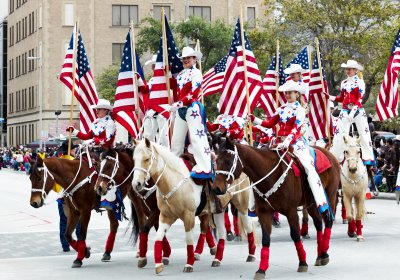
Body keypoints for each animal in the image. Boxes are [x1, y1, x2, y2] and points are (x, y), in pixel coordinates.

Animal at [133, 139, 228, 274]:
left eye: (146, 159)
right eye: (134, 159)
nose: (136, 184)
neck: (172, 181)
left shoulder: (188, 215)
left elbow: (188, 239)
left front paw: (189, 264)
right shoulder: (166, 215)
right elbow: (158, 235)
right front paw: (158, 264)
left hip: (220, 209)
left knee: (221, 232)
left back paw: (216, 258)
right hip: (205, 212)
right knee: (204, 227)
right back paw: (200, 253)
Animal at [212, 138, 340, 280]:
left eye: (228, 161)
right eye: (216, 161)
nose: (216, 188)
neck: (268, 175)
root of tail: (329, 154)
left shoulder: (291, 211)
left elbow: (295, 235)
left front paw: (302, 262)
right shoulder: (264, 213)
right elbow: (266, 239)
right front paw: (261, 269)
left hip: (329, 196)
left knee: (328, 221)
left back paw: (324, 253)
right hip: (311, 203)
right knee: (318, 224)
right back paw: (320, 256)